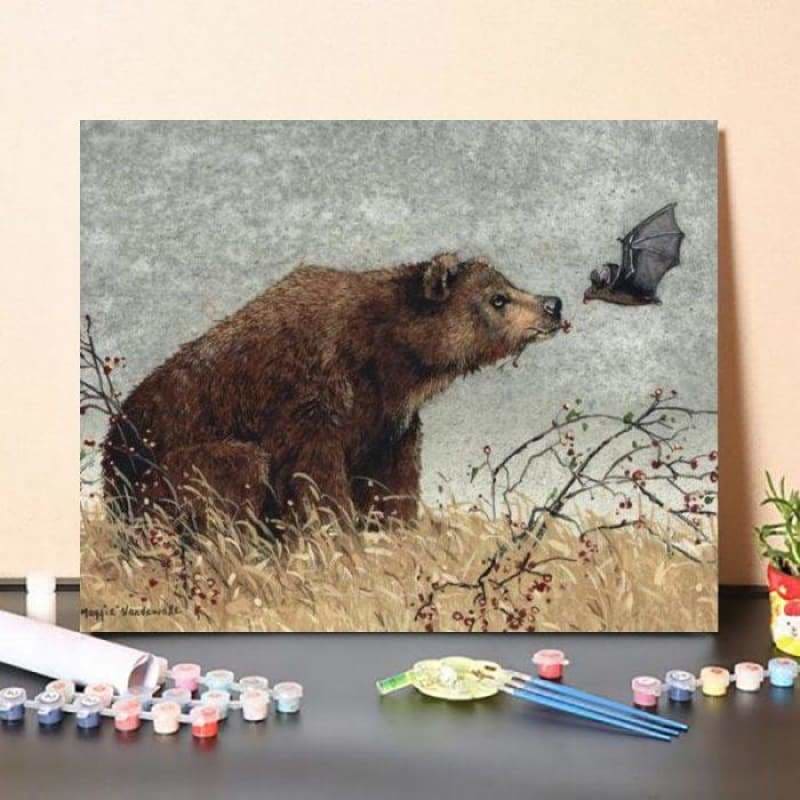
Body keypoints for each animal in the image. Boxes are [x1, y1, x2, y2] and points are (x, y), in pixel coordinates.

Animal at [103, 253, 563, 524]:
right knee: (235, 472)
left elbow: (392, 484)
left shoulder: (390, 419)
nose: (553, 304)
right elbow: (318, 479)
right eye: (498, 298)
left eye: (509, 283)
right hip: (166, 470)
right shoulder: (313, 399)